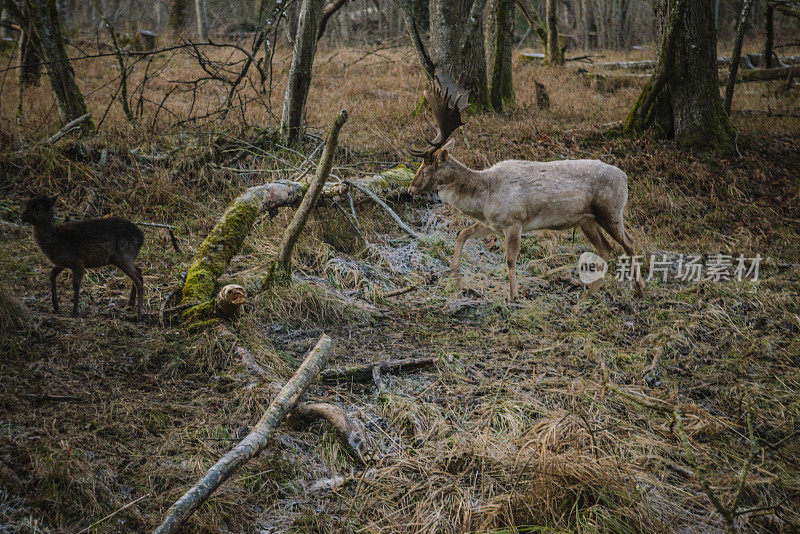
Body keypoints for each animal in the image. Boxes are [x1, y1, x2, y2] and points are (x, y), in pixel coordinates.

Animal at [410, 72, 648, 302]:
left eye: (426, 170)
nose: (411, 189)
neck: (485, 197)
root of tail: (625, 177)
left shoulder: (514, 221)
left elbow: (510, 259)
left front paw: (513, 296)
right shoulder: (492, 223)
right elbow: (463, 233)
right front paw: (455, 277)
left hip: (610, 211)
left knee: (629, 243)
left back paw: (638, 290)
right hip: (587, 221)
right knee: (605, 248)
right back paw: (588, 295)